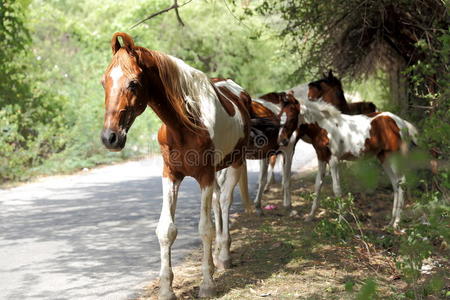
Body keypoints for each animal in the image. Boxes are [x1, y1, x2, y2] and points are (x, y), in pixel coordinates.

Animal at [296, 98, 418, 227]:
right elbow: (317, 186)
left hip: (394, 157)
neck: (325, 127)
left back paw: (397, 222)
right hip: (384, 158)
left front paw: (341, 221)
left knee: (401, 182)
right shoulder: (321, 159)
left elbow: (336, 189)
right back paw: (391, 222)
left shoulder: (334, 161)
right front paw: (310, 216)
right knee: (395, 184)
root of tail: (401, 122)